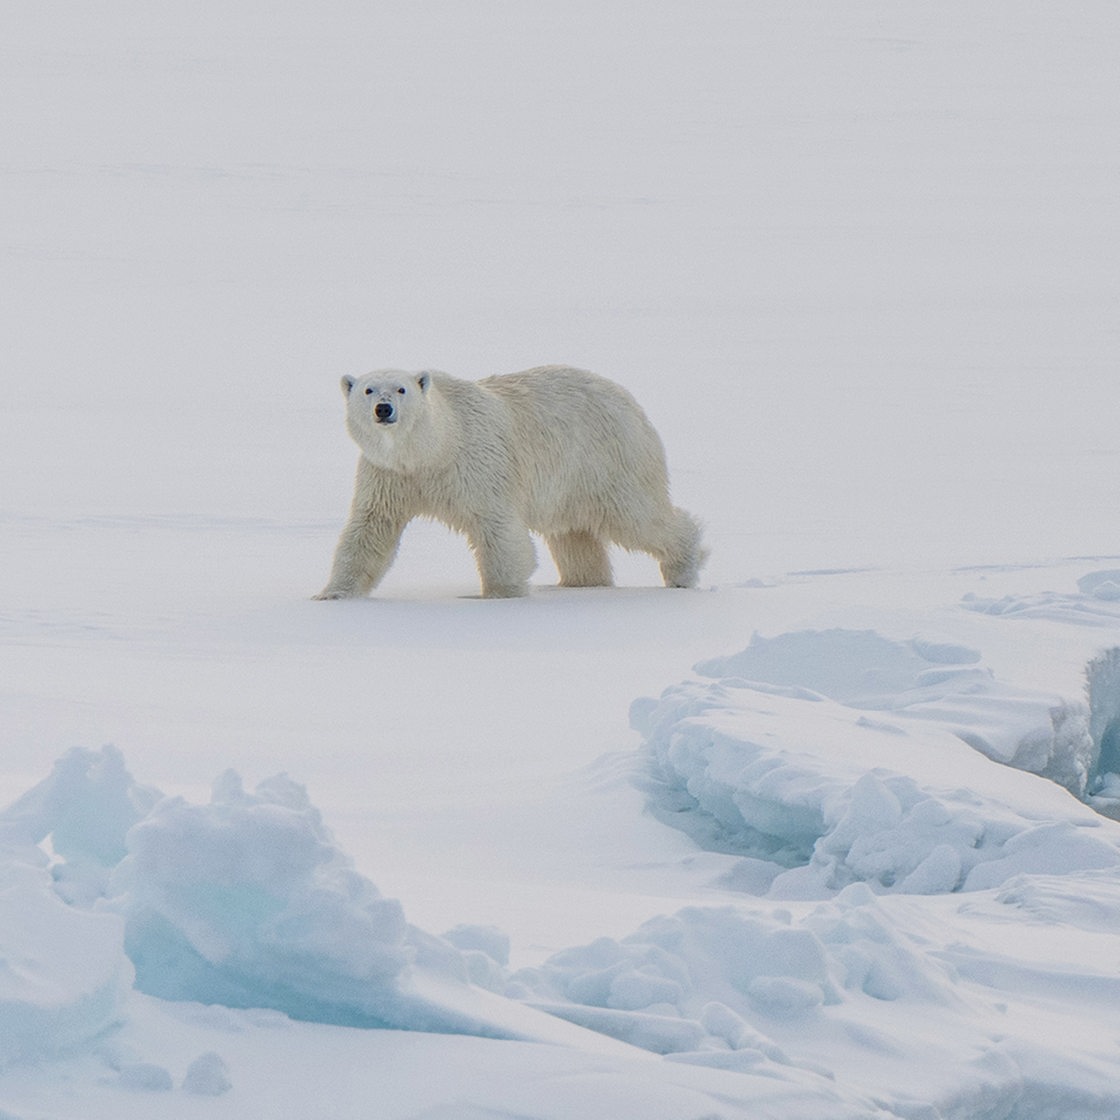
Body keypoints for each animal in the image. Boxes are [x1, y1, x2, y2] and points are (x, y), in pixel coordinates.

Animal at [315, 365, 703, 595]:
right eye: (367, 390)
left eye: (400, 389)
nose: (383, 409)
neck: (433, 450)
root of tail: (628, 397)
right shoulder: (389, 475)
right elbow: (370, 528)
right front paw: (332, 593)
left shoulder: (476, 464)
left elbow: (497, 528)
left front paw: (501, 593)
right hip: (571, 483)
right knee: (573, 535)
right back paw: (582, 583)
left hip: (607, 460)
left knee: (637, 517)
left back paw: (683, 569)